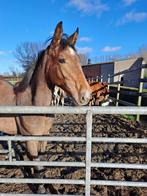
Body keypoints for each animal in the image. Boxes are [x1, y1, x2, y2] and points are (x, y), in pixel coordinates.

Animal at [0, 21, 92, 193]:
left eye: (77, 59)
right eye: (61, 60)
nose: (86, 96)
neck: (34, 105)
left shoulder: (44, 137)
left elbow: (41, 163)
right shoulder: (30, 139)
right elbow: (36, 164)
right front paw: (41, 189)